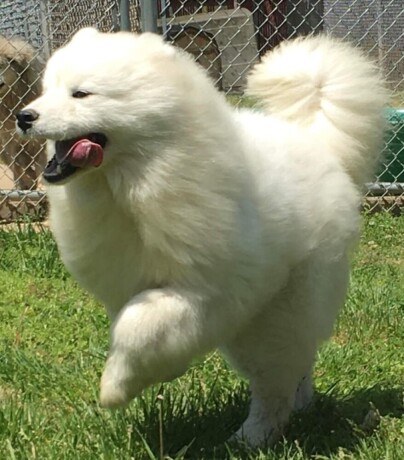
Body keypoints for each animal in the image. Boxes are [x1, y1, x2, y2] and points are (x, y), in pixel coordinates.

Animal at [16, 28, 388, 446]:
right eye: (46, 90)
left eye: (81, 94)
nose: (24, 116)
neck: (137, 182)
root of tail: (319, 147)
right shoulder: (124, 283)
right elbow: (132, 324)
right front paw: (154, 370)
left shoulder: (201, 293)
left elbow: (137, 324)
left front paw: (116, 387)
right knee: (297, 362)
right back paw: (299, 405)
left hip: (276, 314)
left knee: (273, 381)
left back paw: (252, 438)